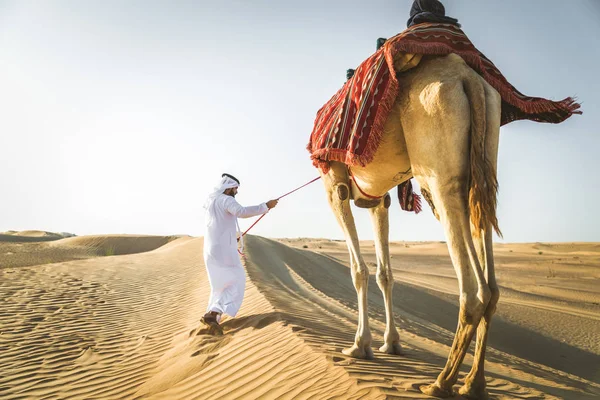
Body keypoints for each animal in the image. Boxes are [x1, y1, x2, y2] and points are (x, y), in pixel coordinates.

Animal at [322, 51, 504, 398]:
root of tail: (468, 79)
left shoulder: (335, 185)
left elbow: (358, 271)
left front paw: (359, 345)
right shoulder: (378, 198)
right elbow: (385, 273)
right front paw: (391, 343)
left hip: (437, 165)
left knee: (473, 289)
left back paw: (441, 382)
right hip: (485, 157)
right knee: (489, 271)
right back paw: (473, 383)